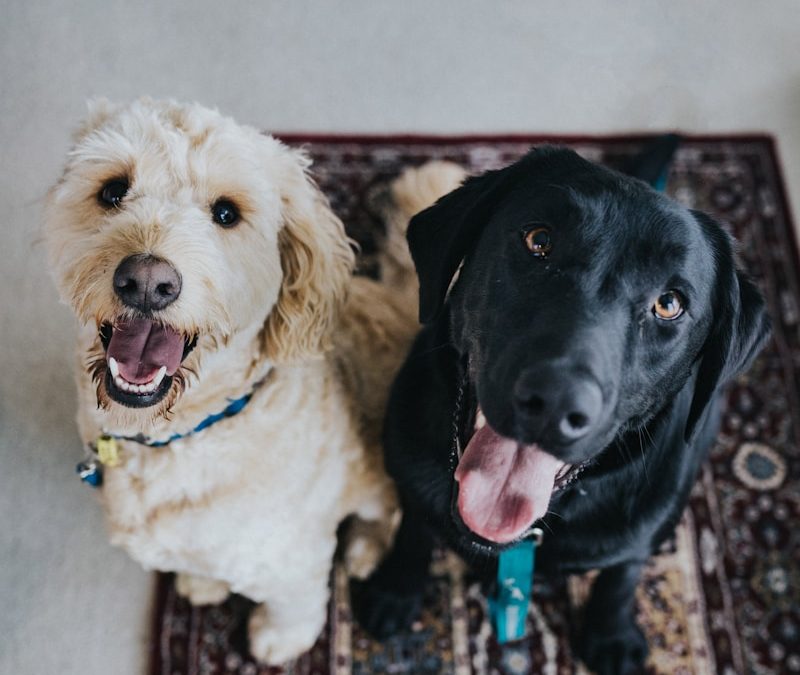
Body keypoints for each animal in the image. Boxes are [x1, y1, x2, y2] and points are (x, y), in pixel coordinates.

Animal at [43, 97, 466, 664]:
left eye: (226, 213)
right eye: (113, 190)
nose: (147, 282)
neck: (184, 433)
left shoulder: (292, 556)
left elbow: (295, 604)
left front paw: (278, 640)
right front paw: (203, 583)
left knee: (387, 514)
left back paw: (364, 549)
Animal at [354, 148, 768, 675]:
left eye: (669, 303)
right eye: (539, 241)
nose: (555, 402)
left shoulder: (641, 527)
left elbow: (621, 575)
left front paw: (611, 634)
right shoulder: (409, 469)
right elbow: (414, 529)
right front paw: (396, 589)